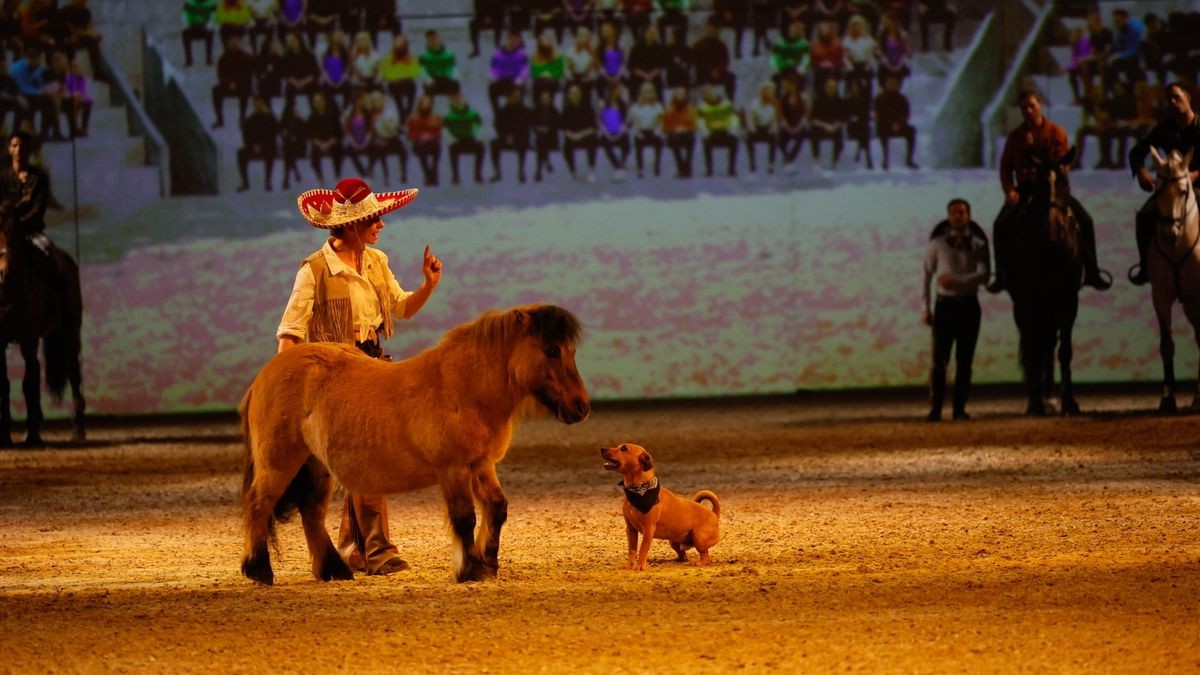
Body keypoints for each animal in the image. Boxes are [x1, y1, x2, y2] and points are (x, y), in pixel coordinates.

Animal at [0, 227, 85, 446]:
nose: (4, 272)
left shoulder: (29, 340)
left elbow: (29, 383)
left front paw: (32, 435)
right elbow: (4, 383)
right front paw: (5, 436)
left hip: (70, 335)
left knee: (74, 376)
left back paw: (78, 430)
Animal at [237, 303, 590, 583]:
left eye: (572, 350)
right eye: (552, 350)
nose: (581, 407)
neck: (464, 387)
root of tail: (263, 376)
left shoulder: (481, 466)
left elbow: (496, 508)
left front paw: (488, 562)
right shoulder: (454, 470)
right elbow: (465, 518)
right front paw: (470, 569)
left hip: (317, 466)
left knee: (311, 511)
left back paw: (333, 571)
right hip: (279, 462)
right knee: (259, 503)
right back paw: (260, 570)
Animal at [1008, 144, 1084, 413]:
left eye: (1065, 181)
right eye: (1039, 185)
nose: (1053, 232)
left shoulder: (1069, 301)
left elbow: (1065, 350)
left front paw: (1069, 401)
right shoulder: (1029, 303)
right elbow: (1032, 349)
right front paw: (1035, 403)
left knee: (1049, 345)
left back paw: (1051, 395)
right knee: (1035, 345)